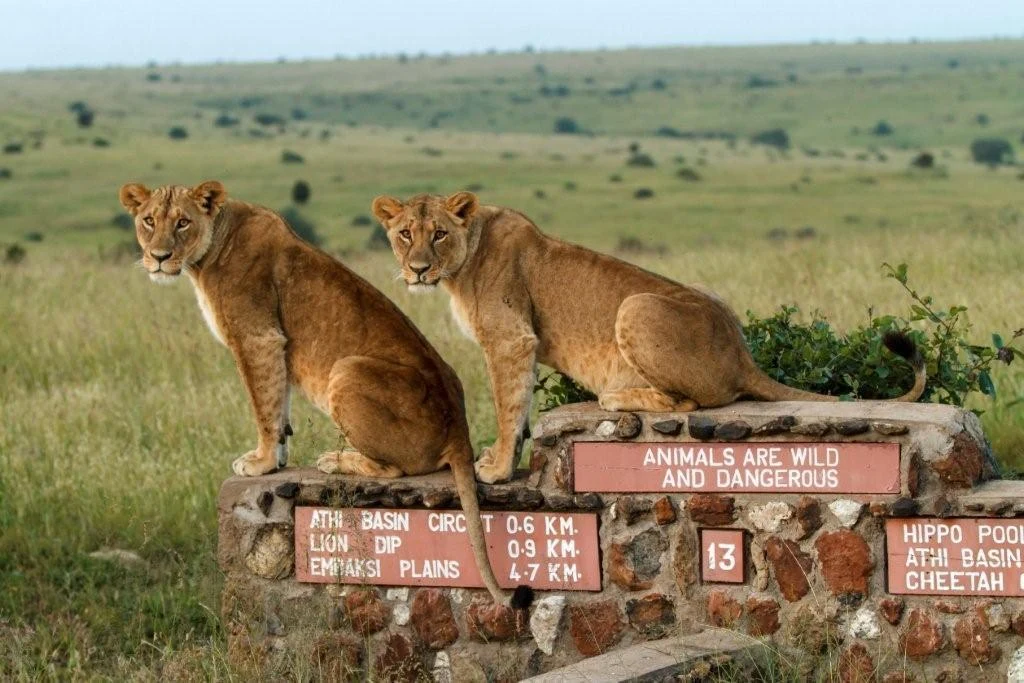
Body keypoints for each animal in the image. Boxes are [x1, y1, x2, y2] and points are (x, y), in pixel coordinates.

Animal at [118, 181, 525, 607]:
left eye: (182, 222)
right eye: (149, 221)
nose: (159, 258)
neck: (210, 249)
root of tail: (458, 430)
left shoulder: (258, 339)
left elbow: (263, 406)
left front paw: (260, 463)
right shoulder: (272, 348)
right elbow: (278, 408)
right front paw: (277, 459)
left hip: (346, 369)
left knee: (397, 469)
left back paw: (334, 459)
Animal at [372, 191, 927, 484]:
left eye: (438, 233)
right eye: (405, 233)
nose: (417, 269)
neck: (462, 262)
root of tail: (742, 355)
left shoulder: (511, 339)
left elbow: (508, 405)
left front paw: (497, 468)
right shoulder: (517, 344)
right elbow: (519, 406)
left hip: (635, 305)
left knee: (690, 402)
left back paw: (614, 397)